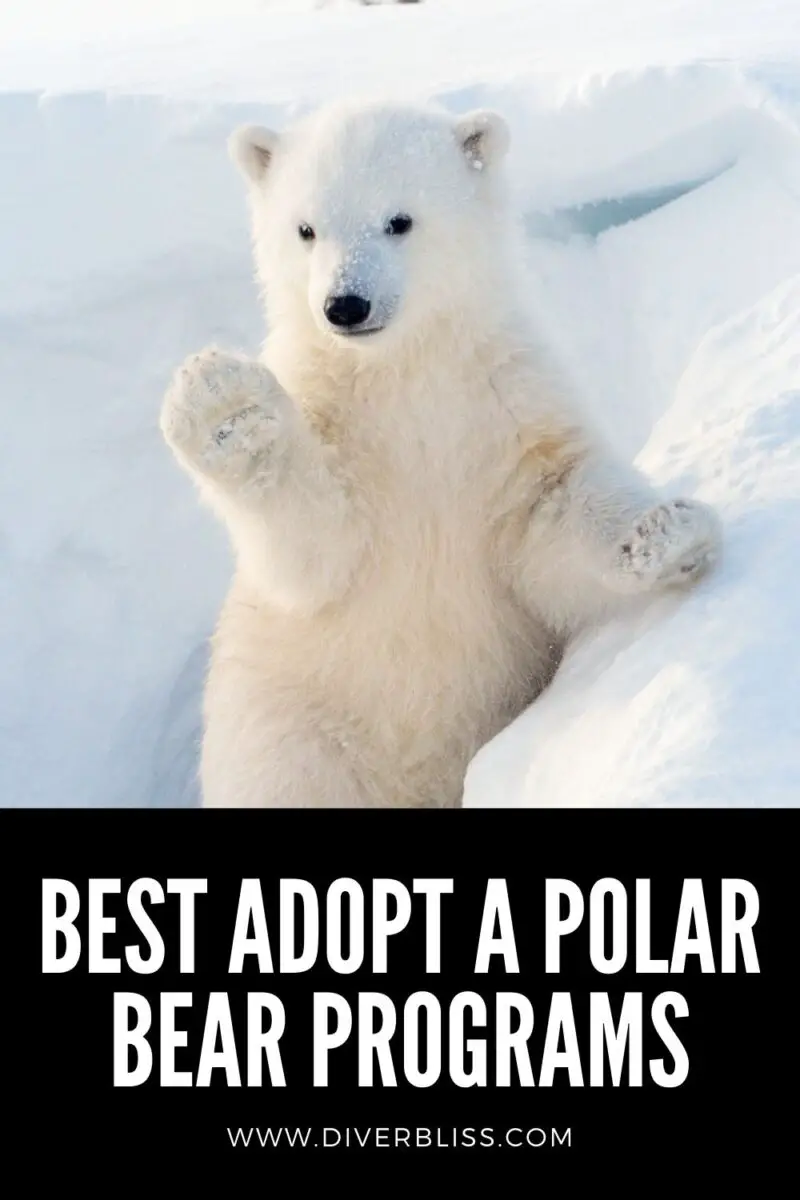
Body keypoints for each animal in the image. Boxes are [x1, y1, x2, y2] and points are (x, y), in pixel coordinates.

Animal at [160, 99, 721, 808]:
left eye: (398, 220)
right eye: (305, 229)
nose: (345, 305)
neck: (403, 372)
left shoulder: (504, 404)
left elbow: (550, 510)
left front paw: (667, 532)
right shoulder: (336, 425)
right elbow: (317, 551)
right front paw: (223, 404)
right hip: (290, 729)